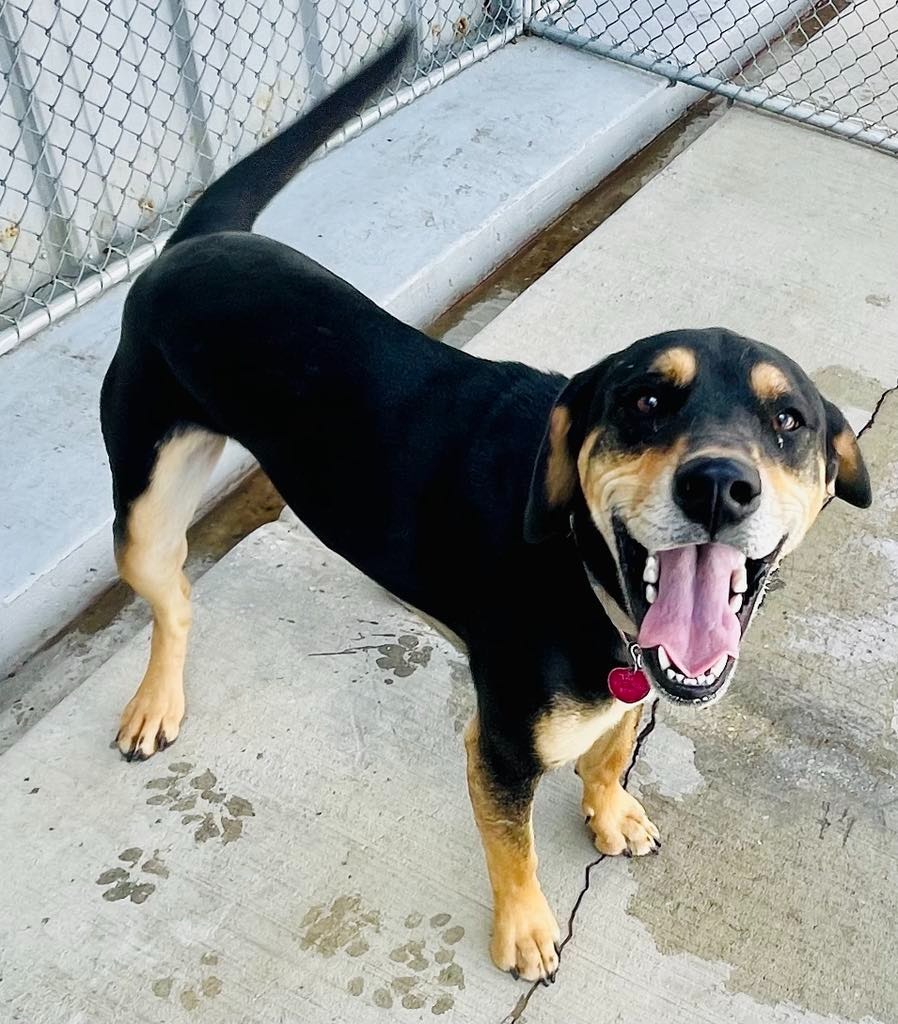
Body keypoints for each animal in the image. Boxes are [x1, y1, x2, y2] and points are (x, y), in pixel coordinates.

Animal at [98, 34, 868, 983]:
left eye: (788, 421)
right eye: (647, 402)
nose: (720, 486)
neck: (582, 567)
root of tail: (199, 242)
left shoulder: (636, 675)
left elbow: (616, 746)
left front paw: (611, 811)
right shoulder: (499, 745)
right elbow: (514, 845)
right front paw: (527, 928)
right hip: (143, 505)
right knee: (172, 598)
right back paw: (154, 704)